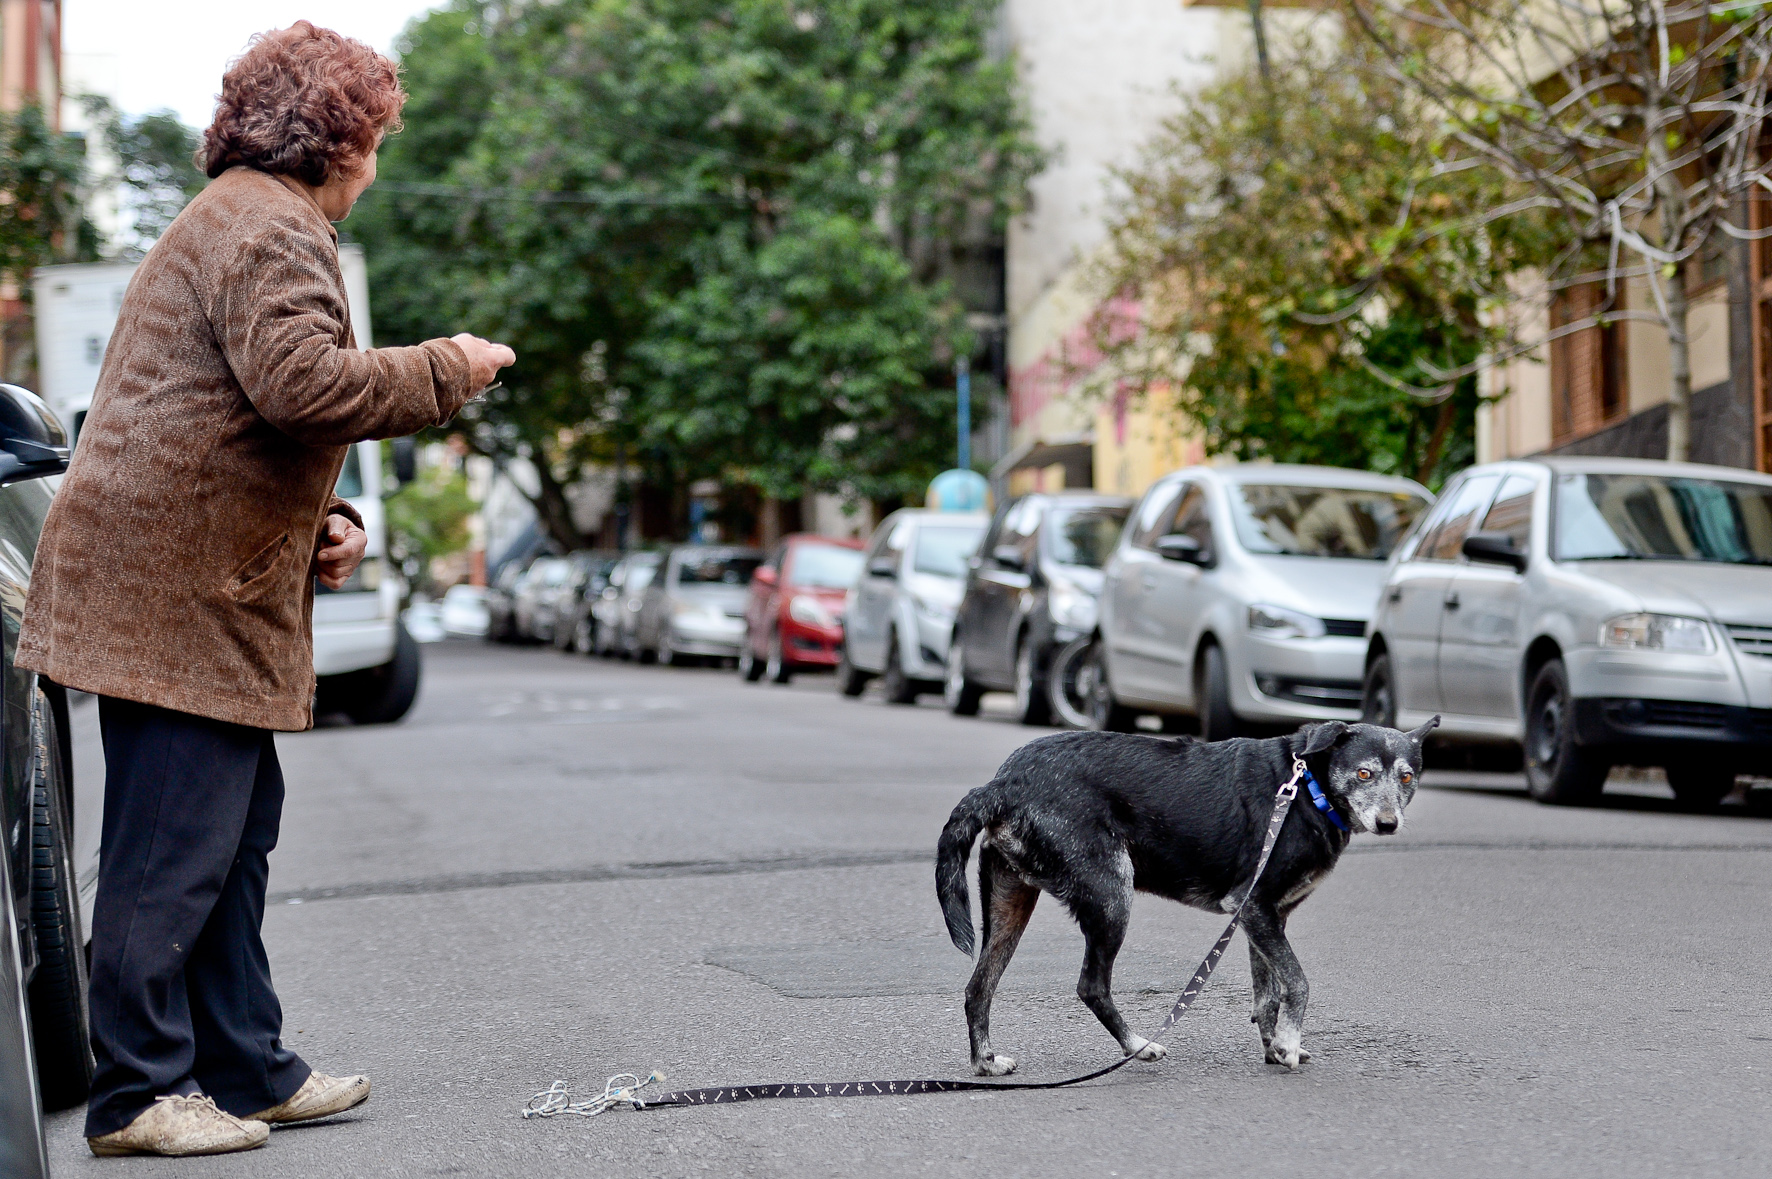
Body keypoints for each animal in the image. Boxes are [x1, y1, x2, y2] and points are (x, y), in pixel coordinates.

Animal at [935, 716, 1431, 1077]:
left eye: (1407, 778)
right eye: (1364, 773)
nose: (1389, 823)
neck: (1307, 787)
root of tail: (1004, 783)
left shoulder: (1262, 918)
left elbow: (1266, 996)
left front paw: (1274, 1047)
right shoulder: (1252, 906)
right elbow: (1297, 982)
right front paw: (1288, 1044)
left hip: (1010, 902)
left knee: (978, 987)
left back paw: (985, 1061)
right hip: (1112, 895)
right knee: (1091, 986)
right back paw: (1138, 1046)